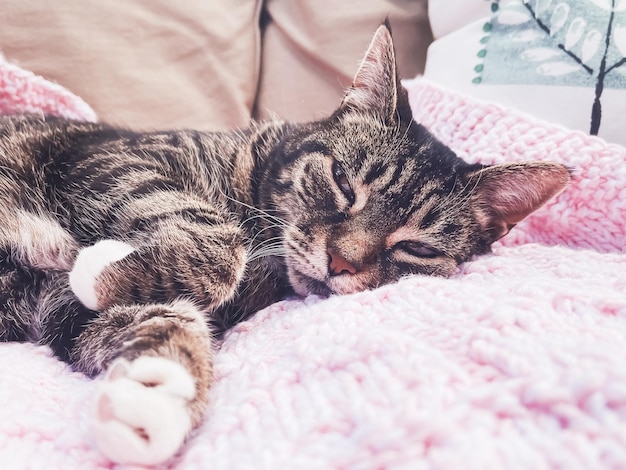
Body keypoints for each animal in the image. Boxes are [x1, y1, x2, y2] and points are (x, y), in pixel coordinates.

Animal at [0, 23, 572, 464]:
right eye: (342, 182)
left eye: (419, 249)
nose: (340, 262)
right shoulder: (114, 158)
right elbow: (218, 244)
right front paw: (104, 264)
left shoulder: (63, 310)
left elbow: (162, 317)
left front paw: (152, 394)